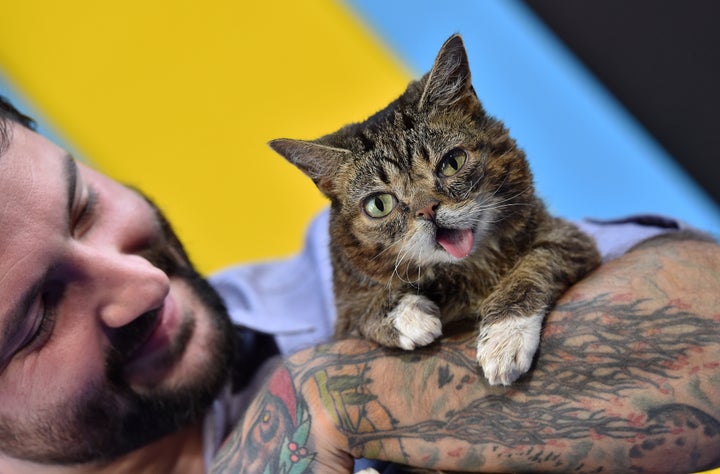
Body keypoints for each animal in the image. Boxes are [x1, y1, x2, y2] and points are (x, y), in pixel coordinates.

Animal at [268, 34, 600, 386]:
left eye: (452, 162)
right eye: (379, 204)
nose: (427, 209)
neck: (467, 271)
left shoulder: (567, 238)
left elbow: (533, 266)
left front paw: (504, 336)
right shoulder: (344, 314)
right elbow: (361, 309)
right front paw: (408, 316)